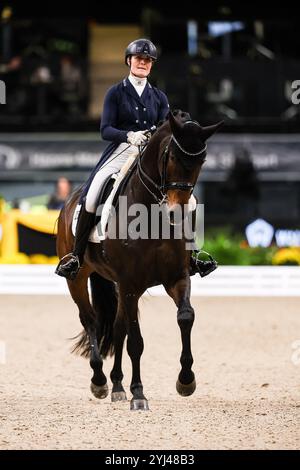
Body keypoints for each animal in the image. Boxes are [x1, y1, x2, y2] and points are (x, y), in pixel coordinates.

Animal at [56, 109, 221, 408]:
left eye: (201, 160)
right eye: (171, 156)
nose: (176, 212)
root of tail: (71, 199)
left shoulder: (176, 278)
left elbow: (185, 317)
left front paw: (186, 381)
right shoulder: (130, 283)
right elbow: (136, 341)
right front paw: (139, 393)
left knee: (117, 327)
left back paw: (117, 386)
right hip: (78, 278)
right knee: (91, 320)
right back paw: (100, 381)